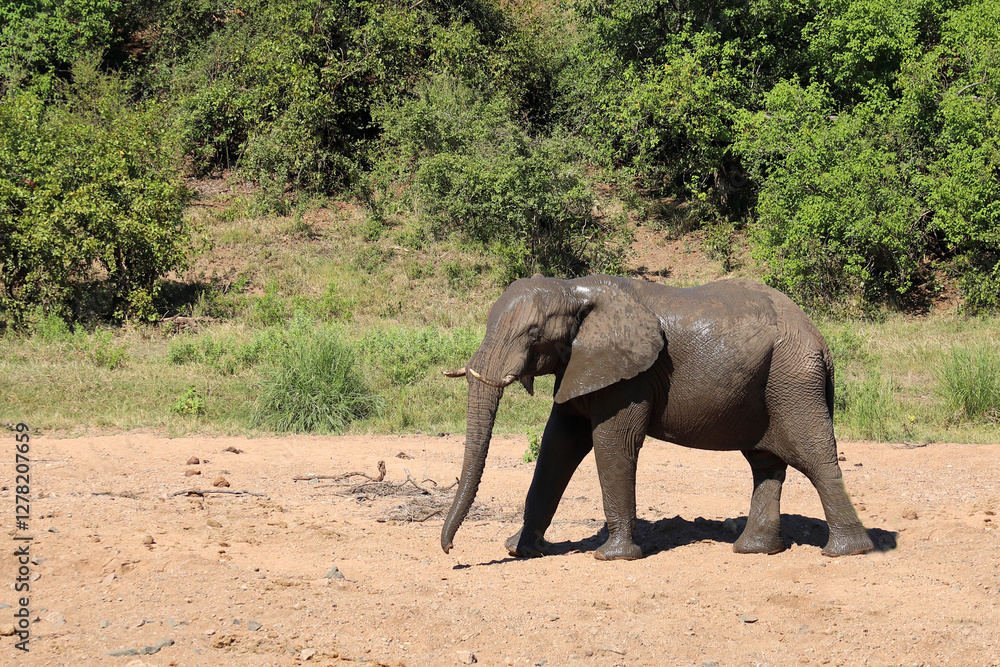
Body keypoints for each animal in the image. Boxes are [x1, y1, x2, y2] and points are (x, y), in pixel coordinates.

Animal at [440, 274, 874, 560]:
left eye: (532, 334)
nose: (448, 550)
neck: (573, 287)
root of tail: (821, 341)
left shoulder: (629, 374)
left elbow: (612, 443)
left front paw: (611, 556)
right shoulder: (581, 364)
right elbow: (557, 446)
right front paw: (520, 549)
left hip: (793, 379)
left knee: (814, 457)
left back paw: (847, 551)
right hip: (771, 383)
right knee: (765, 464)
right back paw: (754, 550)